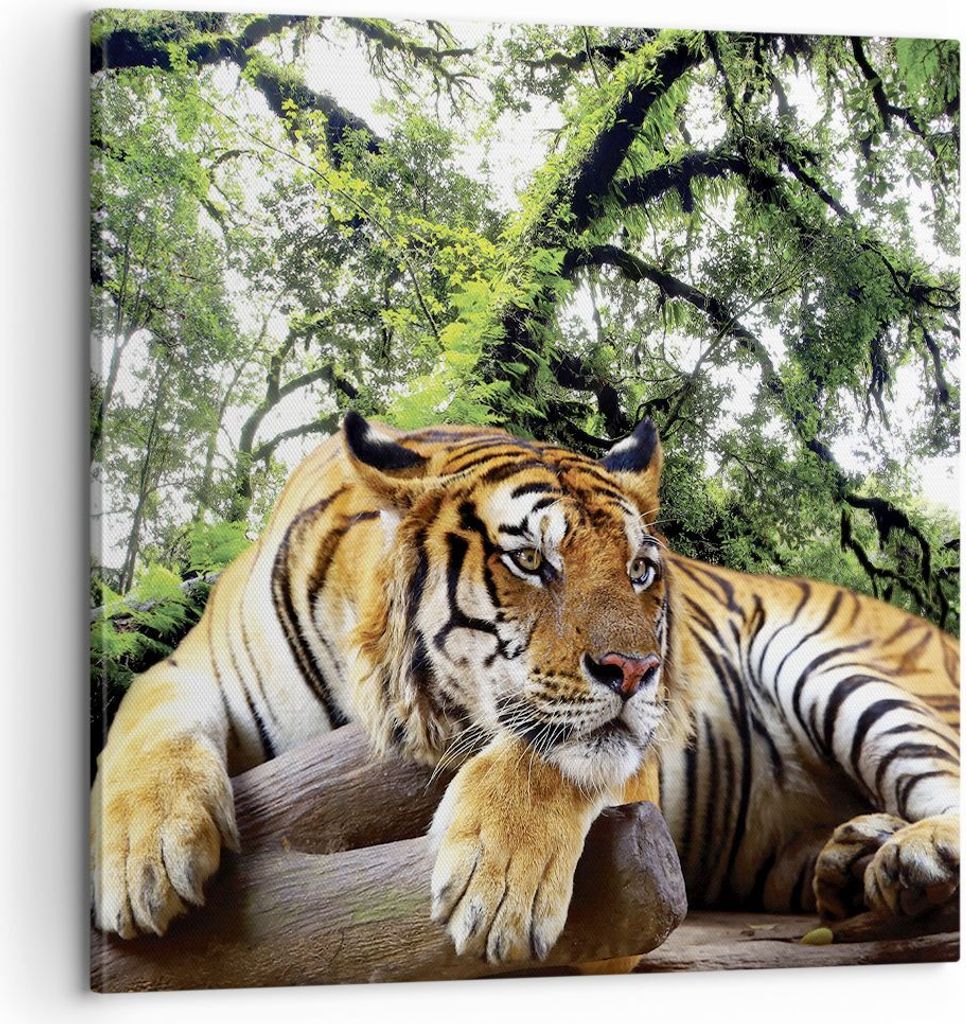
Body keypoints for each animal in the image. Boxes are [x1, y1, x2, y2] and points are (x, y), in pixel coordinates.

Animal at [90, 412, 960, 966]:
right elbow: (146, 724)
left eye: (640, 570)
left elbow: (554, 753)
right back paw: (853, 861)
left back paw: (912, 860)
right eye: (533, 561)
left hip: (829, 663)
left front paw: (497, 882)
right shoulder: (185, 668)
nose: (639, 671)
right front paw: (142, 859)